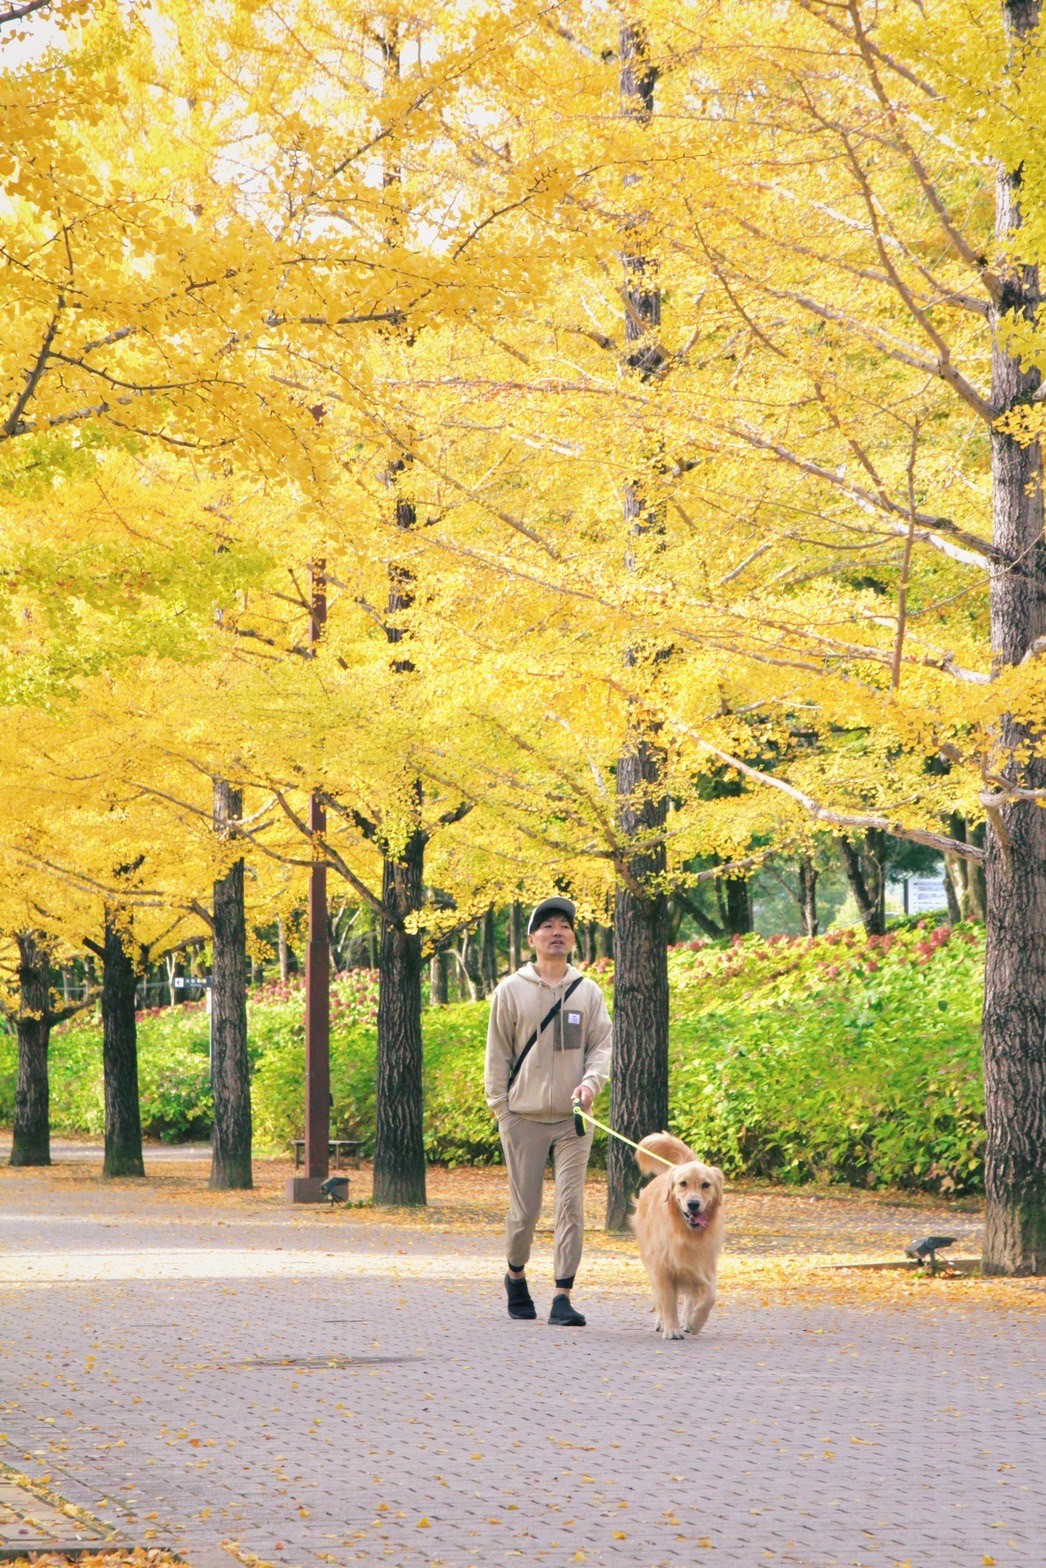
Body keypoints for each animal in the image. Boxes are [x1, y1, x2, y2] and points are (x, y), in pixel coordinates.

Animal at [630, 1135, 727, 1342]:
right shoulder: (662, 1267)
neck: (686, 1233)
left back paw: (687, 1320)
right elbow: (667, 1301)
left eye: (706, 1185)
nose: (693, 1204)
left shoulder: (705, 1265)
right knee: (660, 1297)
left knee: (690, 1297)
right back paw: (662, 1322)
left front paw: (695, 1323)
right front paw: (671, 1329)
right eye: (683, 1183)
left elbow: (709, 1298)